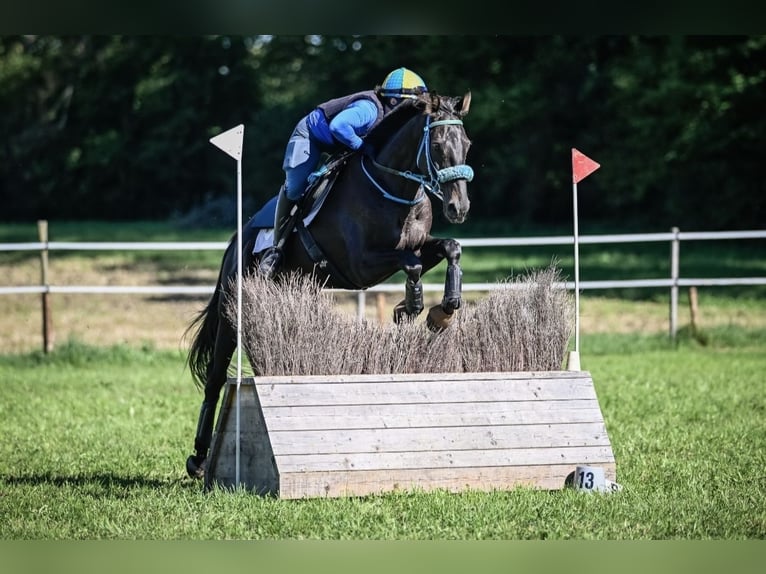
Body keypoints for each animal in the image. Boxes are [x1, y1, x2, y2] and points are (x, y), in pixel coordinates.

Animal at [185, 91, 474, 479]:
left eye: (467, 145)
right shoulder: (360, 265)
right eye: (439, 144)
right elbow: (410, 264)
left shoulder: (416, 245)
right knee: (215, 378)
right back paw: (199, 459)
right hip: (235, 313)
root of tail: (235, 242)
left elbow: (448, 248)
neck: (394, 188)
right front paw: (411, 307)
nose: (460, 207)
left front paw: (441, 311)